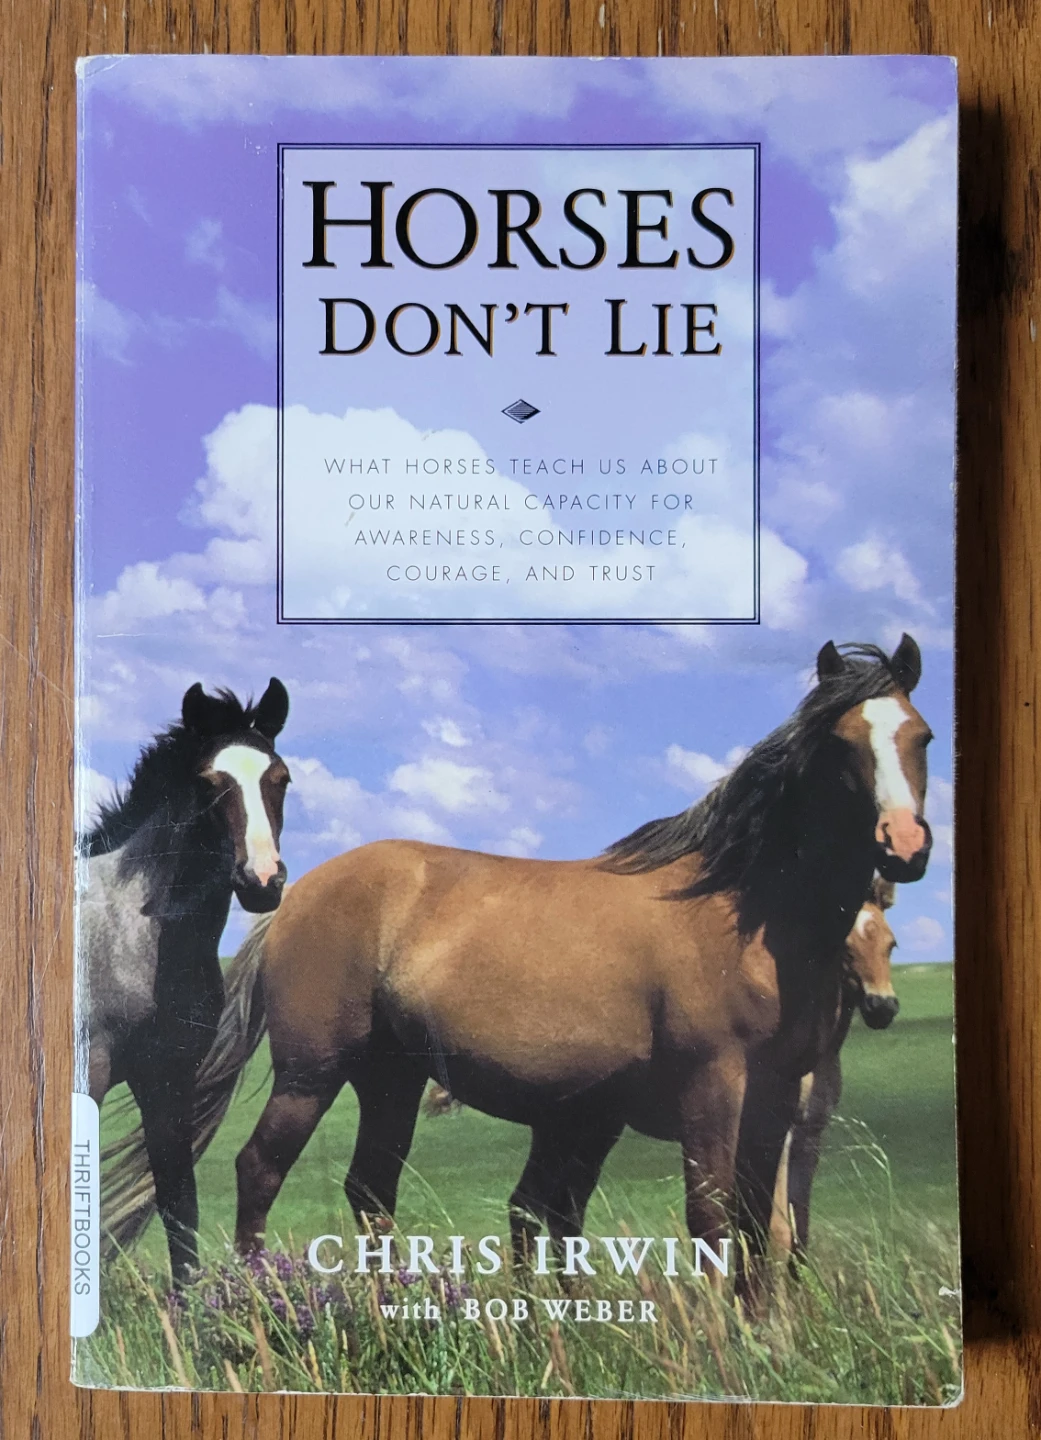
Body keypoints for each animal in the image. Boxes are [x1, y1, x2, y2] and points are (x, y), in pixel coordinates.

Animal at [769, 876, 899, 1263]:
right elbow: (777, 1232)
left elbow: (800, 1231)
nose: (882, 1006)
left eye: (891, 944)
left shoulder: (810, 1134)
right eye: (844, 947)